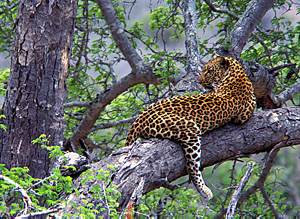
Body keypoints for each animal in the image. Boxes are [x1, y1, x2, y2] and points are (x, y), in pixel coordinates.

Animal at [124, 56, 255, 200]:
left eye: (209, 71)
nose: (199, 81)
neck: (236, 75)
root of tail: (140, 118)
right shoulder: (244, 114)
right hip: (189, 129)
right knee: (192, 167)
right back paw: (204, 191)